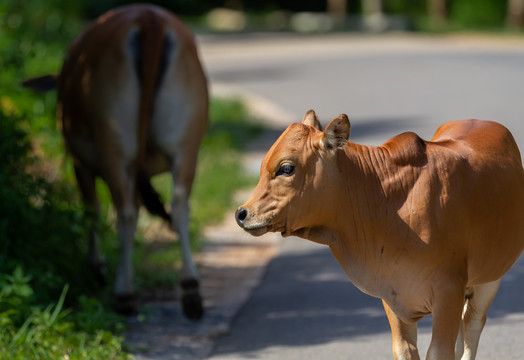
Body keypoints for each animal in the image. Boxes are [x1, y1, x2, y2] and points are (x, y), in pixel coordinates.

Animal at [24, 4, 209, 320]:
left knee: (124, 214)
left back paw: (123, 293)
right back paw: (190, 290)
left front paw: (96, 267)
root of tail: (149, 19)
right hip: (185, 143)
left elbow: (92, 210)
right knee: (180, 206)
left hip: (115, 144)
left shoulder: (80, 163)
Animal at [235, 110, 524, 360]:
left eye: (286, 168)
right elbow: (405, 349)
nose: (241, 213)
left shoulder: (448, 291)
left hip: (489, 278)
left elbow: (440, 351)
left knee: (472, 325)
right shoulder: (392, 295)